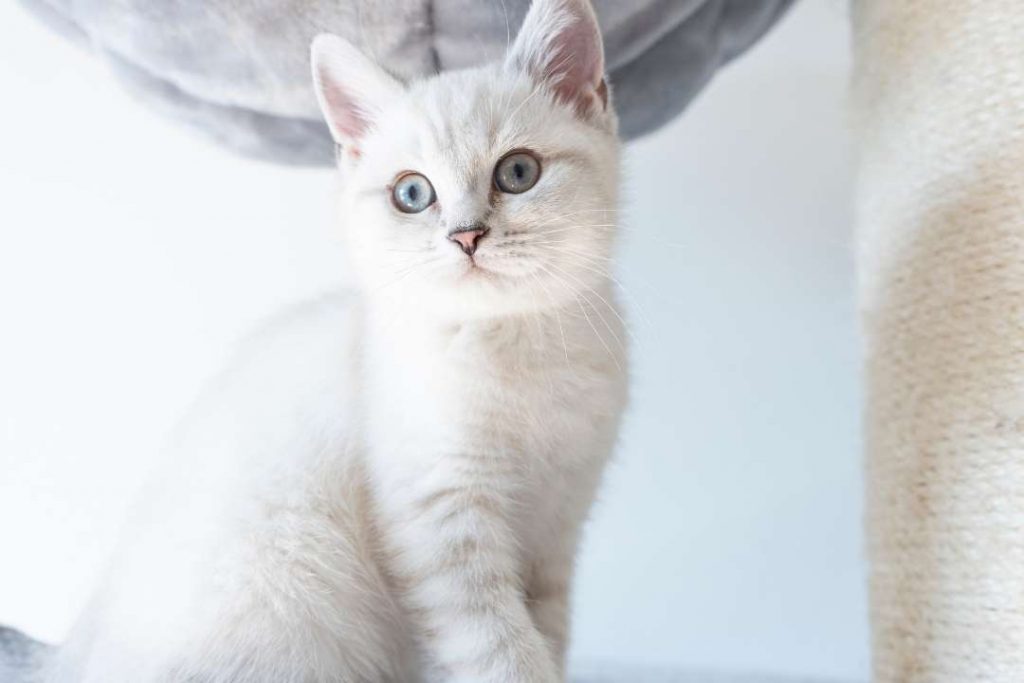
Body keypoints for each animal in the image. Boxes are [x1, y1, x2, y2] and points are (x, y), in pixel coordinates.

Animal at [48, 2, 622, 679]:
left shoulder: (557, 532)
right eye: (412, 193)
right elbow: (502, 653)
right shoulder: (441, 526)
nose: (466, 236)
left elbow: (548, 641)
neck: (517, 351)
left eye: (518, 172)